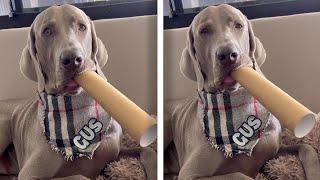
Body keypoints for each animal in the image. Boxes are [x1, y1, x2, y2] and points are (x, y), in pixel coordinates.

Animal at [0, 4, 124, 179]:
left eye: (82, 27)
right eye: (47, 31)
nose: (72, 60)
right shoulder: (29, 174)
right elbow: (80, 176)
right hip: (4, 125)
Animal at [165, 4, 320, 180]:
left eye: (238, 25)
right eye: (204, 31)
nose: (227, 54)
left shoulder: (273, 151)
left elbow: (306, 147)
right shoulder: (189, 174)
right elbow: (239, 174)